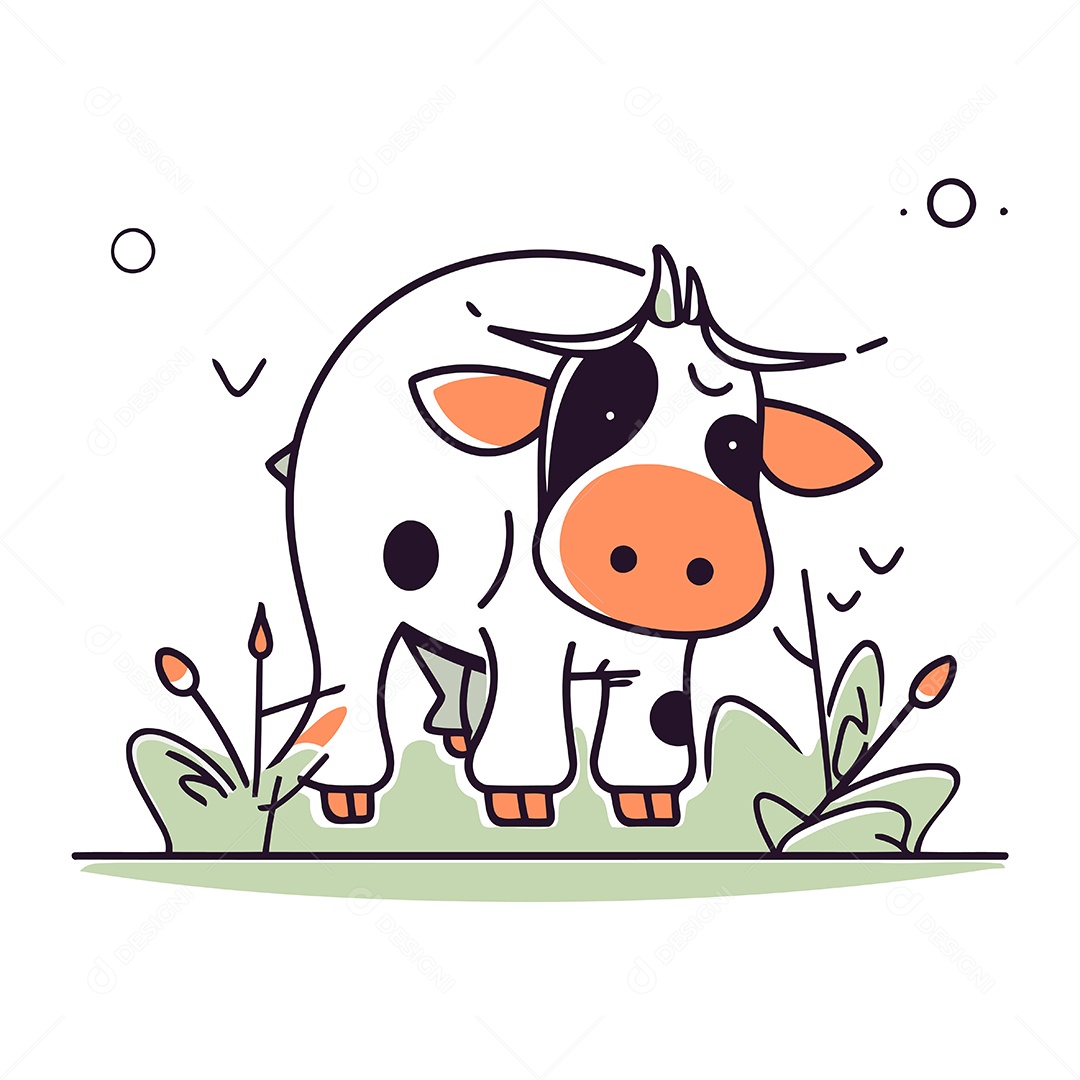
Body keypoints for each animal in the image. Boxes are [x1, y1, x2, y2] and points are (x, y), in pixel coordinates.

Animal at [264, 246, 881, 828]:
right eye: (603, 414)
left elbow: (657, 722)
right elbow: (529, 716)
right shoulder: (522, 632)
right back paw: (348, 798)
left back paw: (458, 738)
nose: (671, 528)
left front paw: (651, 810)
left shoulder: (666, 650)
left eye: (735, 443)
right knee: (351, 680)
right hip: (340, 586)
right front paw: (521, 807)